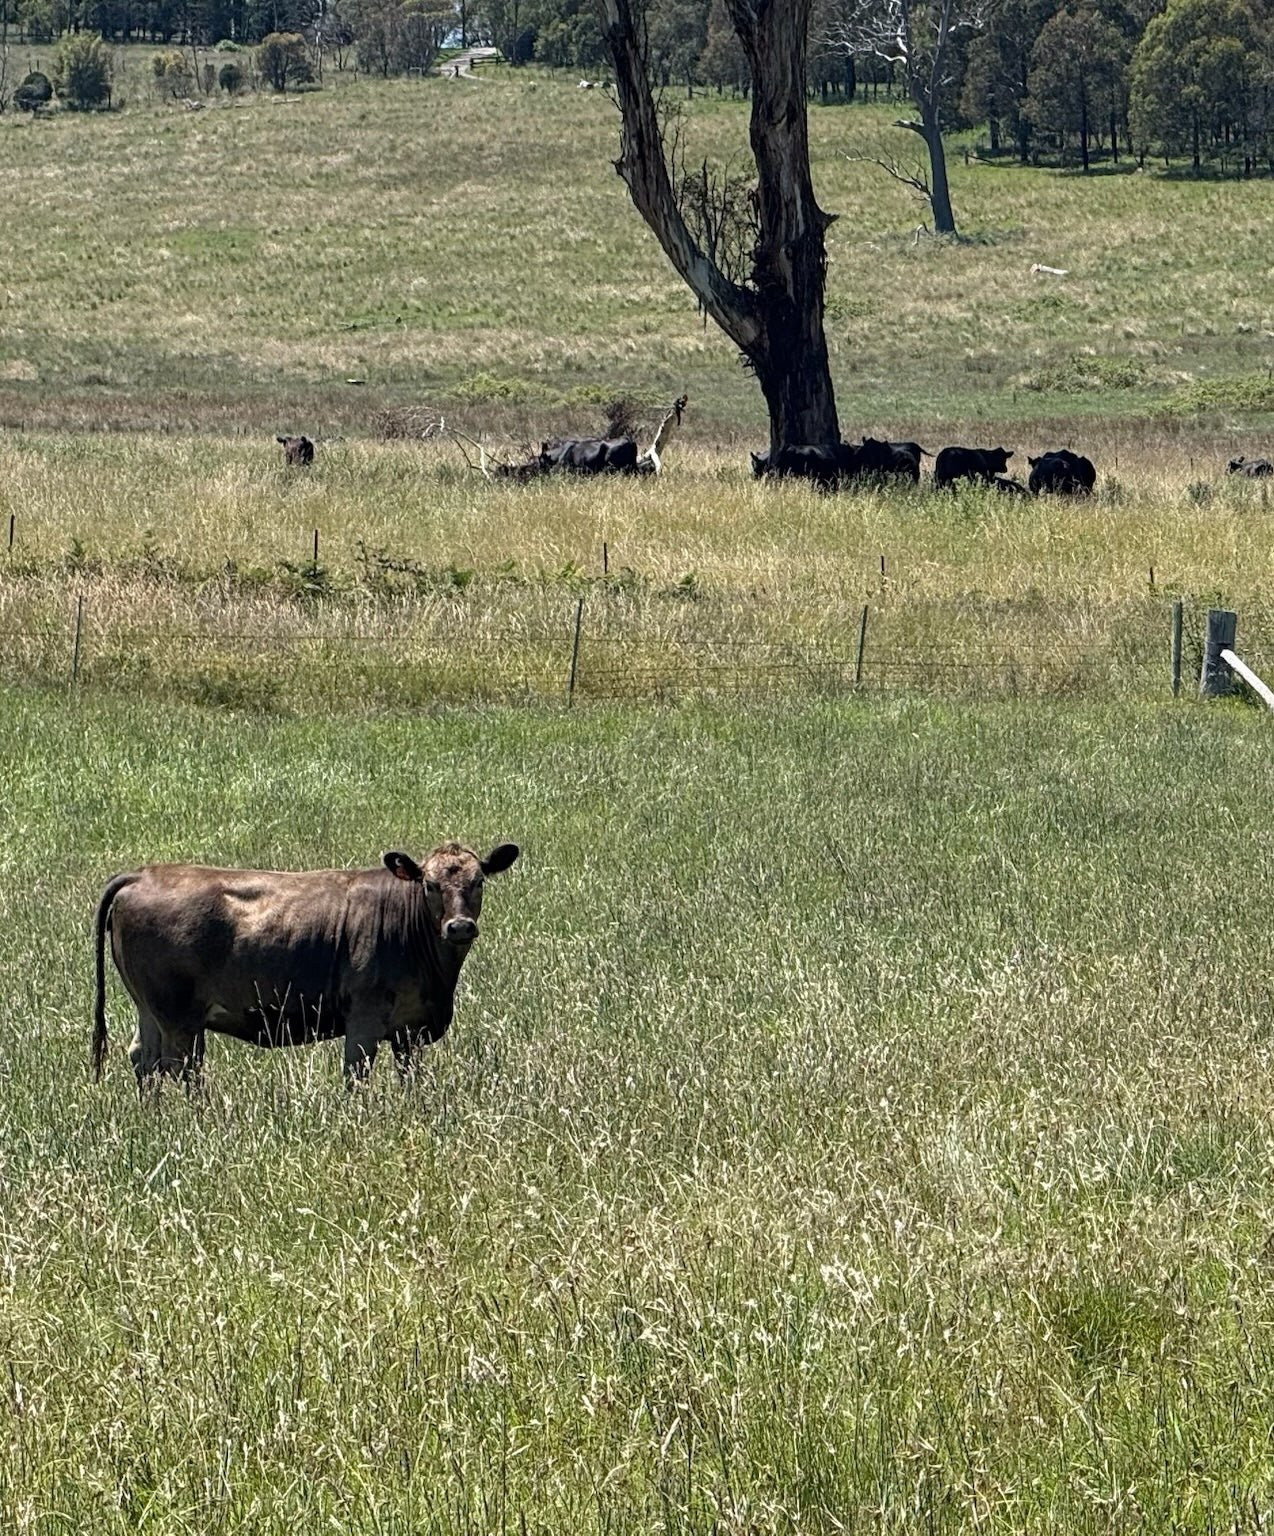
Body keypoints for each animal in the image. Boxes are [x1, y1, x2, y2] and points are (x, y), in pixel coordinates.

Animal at [92, 841, 520, 1090]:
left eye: (479, 881)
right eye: (429, 884)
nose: (459, 926)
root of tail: (143, 874)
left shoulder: (409, 1030)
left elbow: (411, 1082)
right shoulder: (364, 1018)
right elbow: (355, 1077)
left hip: (150, 1009)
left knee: (144, 1060)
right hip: (180, 1017)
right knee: (181, 1068)